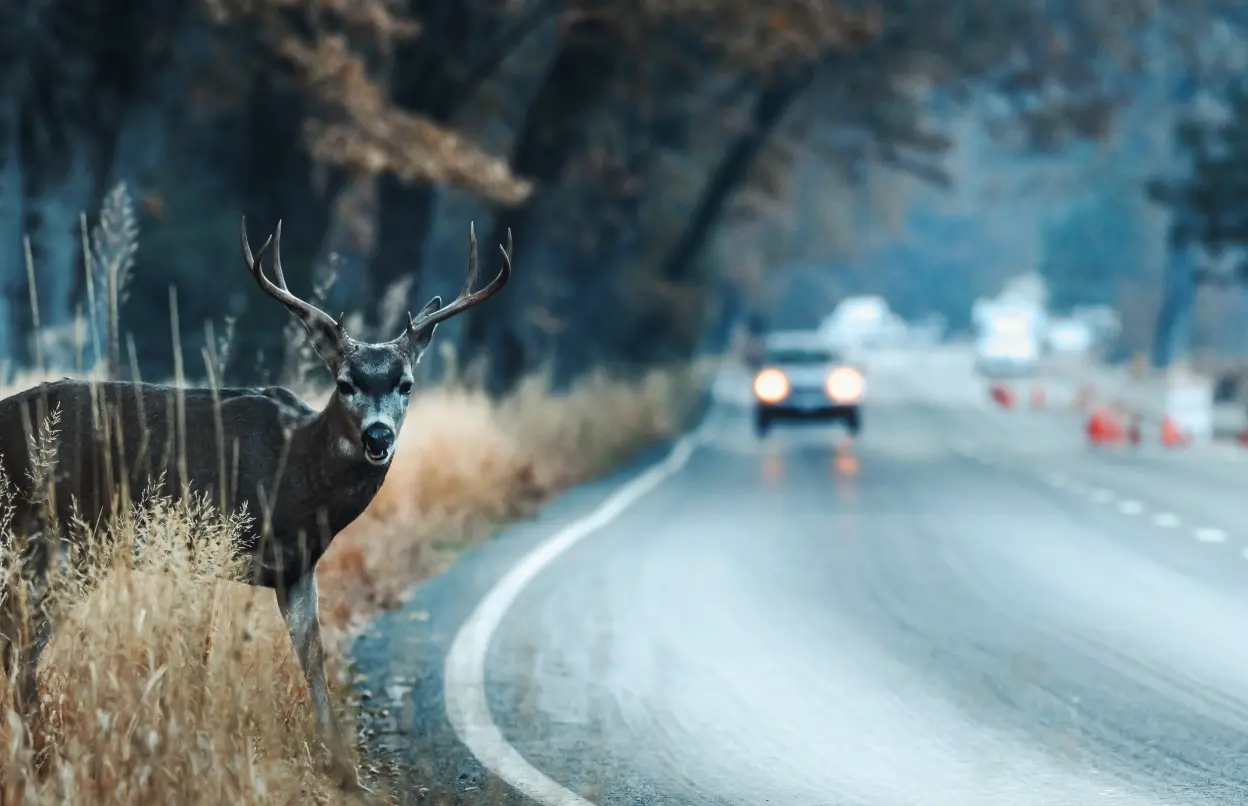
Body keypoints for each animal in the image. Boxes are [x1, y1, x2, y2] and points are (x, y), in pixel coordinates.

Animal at [0, 217, 512, 791]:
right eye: (345, 383)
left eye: (405, 383)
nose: (377, 436)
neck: (297, 474)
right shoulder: (209, 539)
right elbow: (202, 651)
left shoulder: (298, 568)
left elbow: (313, 657)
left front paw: (344, 771)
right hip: (54, 534)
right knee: (20, 638)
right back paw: (36, 752)